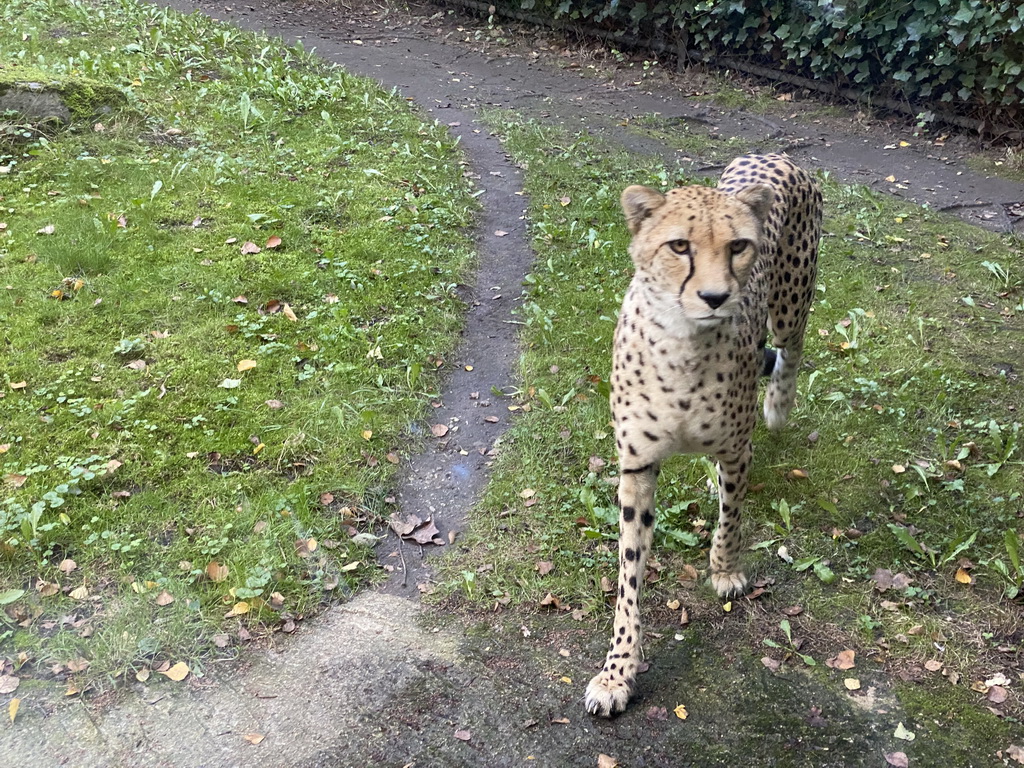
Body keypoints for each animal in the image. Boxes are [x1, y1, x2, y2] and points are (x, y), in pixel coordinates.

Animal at [589, 153, 819, 720]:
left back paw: (778, 406)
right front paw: (618, 670)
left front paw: (725, 570)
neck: (684, 345)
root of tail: (775, 155)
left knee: (791, 349)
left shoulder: (737, 447)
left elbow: (732, 517)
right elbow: (629, 576)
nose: (715, 297)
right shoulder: (637, 467)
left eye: (738, 246)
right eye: (679, 246)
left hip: (791, 302)